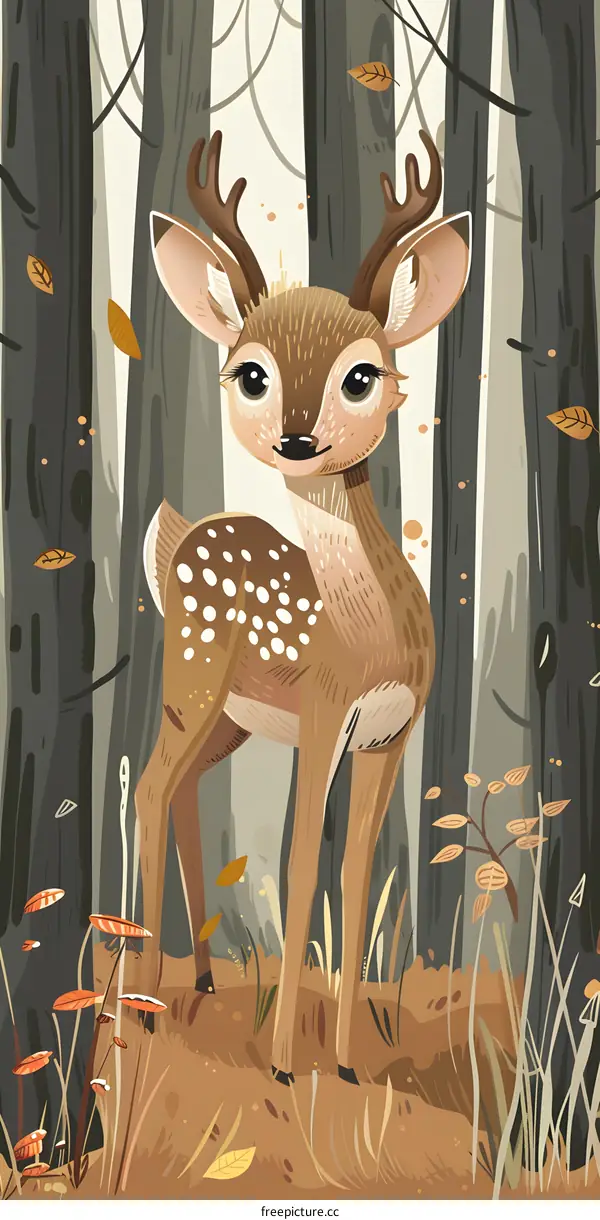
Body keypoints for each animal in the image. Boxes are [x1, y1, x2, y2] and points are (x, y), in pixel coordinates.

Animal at [135, 129, 471, 1085]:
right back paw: (136, 998)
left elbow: (354, 876)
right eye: (250, 373)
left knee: (179, 788)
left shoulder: (394, 733)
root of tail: (182, 539)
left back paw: (203, 981)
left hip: (232, 716)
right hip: (191, 674)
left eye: (364, 376)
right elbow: (296, 865)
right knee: (148, 786)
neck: (372, 641)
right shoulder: (324, 711)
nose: (295, 439)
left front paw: (351, 1063)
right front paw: (287, 1063)